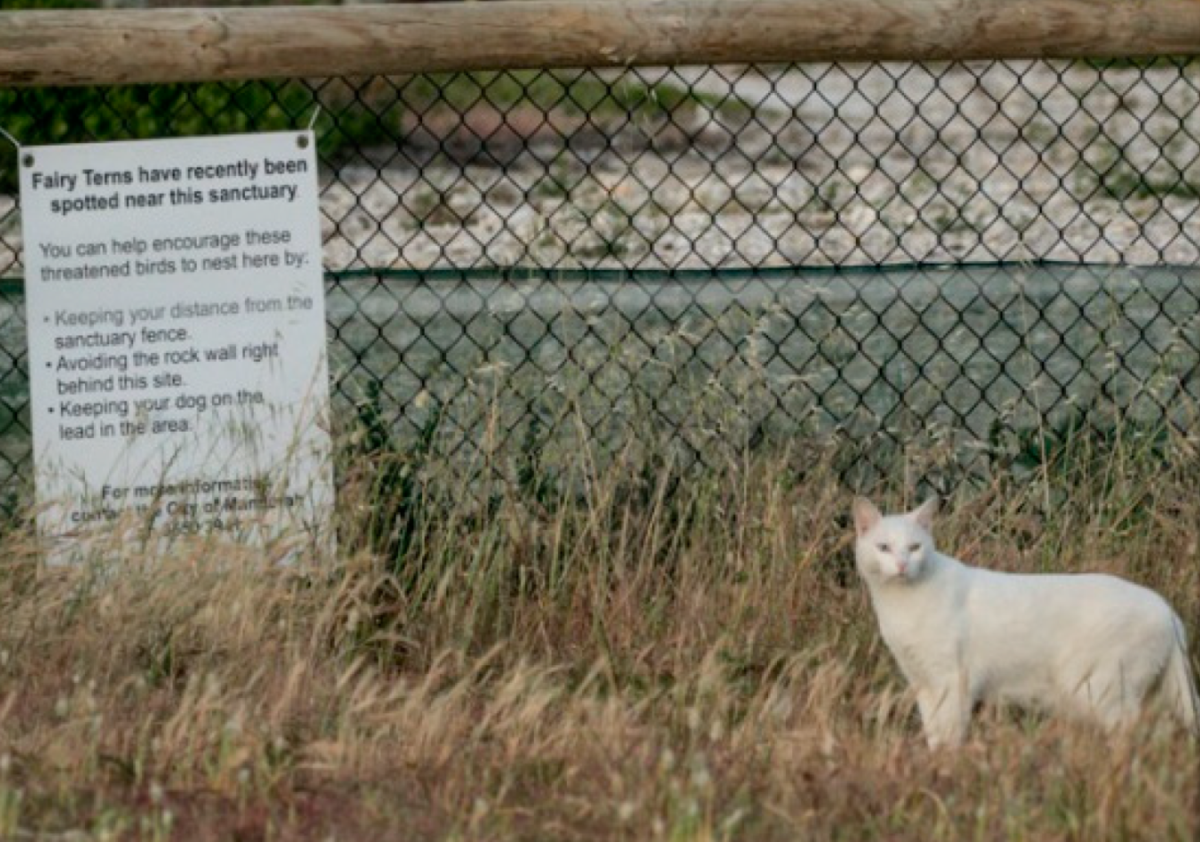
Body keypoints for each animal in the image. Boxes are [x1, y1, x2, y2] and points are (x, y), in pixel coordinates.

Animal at [849, 498, 1195, 748]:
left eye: (915, 547)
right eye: (883, 547)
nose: (901, 564)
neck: (901, 605)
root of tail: (1164, 605)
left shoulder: (952, 680)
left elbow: (950, 735)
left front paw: (947, 772)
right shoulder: (924, 683)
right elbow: (935, 734)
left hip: (1099, 689)